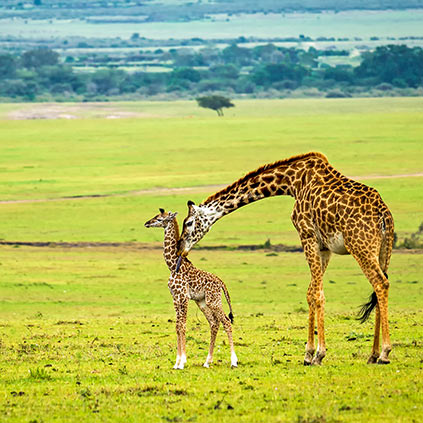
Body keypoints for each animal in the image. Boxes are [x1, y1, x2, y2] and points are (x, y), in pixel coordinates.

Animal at [145, 210, 238, 372]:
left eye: (160, 218)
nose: (147, 223)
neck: (172, 266)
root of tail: (221, 282)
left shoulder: (183, 297)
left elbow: (182, 325)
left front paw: (182, 362)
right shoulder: (175, 298)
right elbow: (177, 326)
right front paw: (176, 362)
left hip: (214, 301)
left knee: (226, 321)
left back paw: (233, 361)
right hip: (203, 302)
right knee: (214, 323)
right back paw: (207, 362)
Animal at [176, 153, 394, 368]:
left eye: (188, 223)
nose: (180, 249)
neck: (292, 182)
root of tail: (384, 214)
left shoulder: (307, 235)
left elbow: (317, 294)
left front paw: (318, 354)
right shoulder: (324, 247)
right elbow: (311, 292)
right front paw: (308, 354)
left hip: (360, 246)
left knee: (380, 283)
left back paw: (384, 353)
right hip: (384, 250)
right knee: (380, 286)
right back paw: (373, 355)